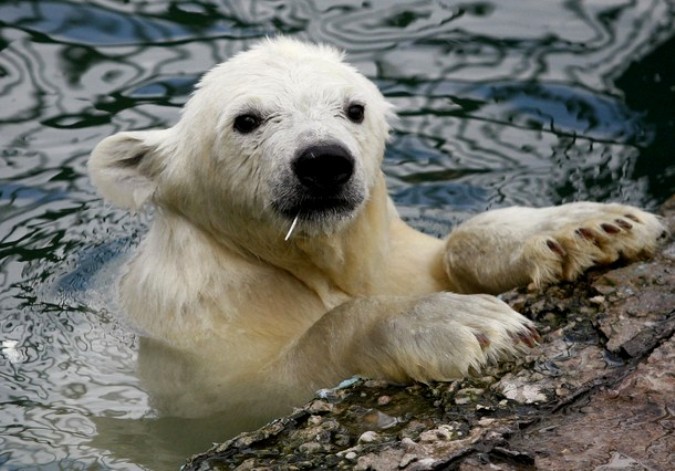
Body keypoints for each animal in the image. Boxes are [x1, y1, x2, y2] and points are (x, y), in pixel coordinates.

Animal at [88, 38, 664, 434]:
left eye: (354, 108)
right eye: (246, 120)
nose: (324, 161)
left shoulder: (392, 256)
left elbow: (447, 251)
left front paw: (591, 227)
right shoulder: (200, 326)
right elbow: (250, 394)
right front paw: (463, 323)